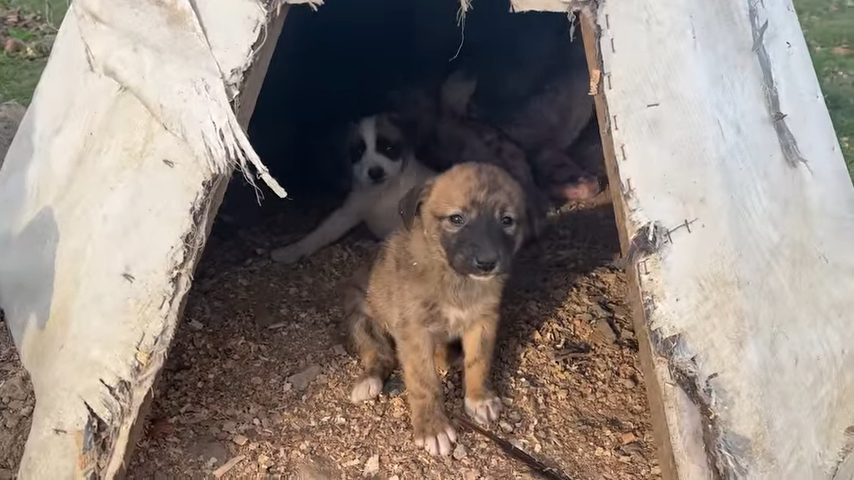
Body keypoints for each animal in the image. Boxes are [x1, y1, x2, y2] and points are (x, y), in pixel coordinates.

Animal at [272, 114, 438, 264]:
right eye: (358, 151)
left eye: (389, 148)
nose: (375, 173)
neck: (383, 193)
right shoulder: (348, 212)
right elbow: (320, 234)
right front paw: (291, 251)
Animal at [342, 163, 528, 456]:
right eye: (456, 219)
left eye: (507, 220)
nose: (487, 263)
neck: (455, 279)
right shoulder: (414, 331)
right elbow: (424, 382)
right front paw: (432, 428)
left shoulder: (483, 320)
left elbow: (479, 361)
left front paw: (479, 397)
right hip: (361, 316)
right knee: (380, 355)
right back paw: (368, 381)